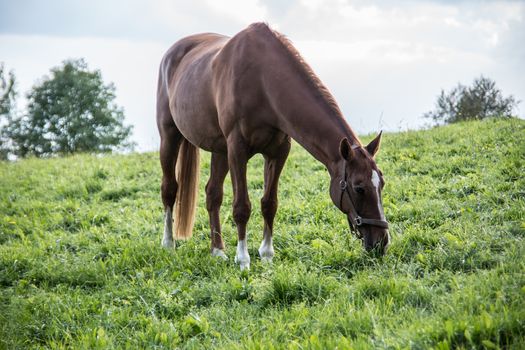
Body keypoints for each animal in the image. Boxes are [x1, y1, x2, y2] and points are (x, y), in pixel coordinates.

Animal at [156, 21, 388, 270]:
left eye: (381, 184)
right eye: (359, 188)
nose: (382, 242)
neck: (262, 80)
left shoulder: (277, 152)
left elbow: (269, 203)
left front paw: (266, 255)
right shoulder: (237, 150)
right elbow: (242, 207)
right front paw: (243, 260)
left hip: (220, 151)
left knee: (213, 194)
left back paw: (217, 250)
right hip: (170, 137)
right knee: (169, 189)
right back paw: (168, 244)